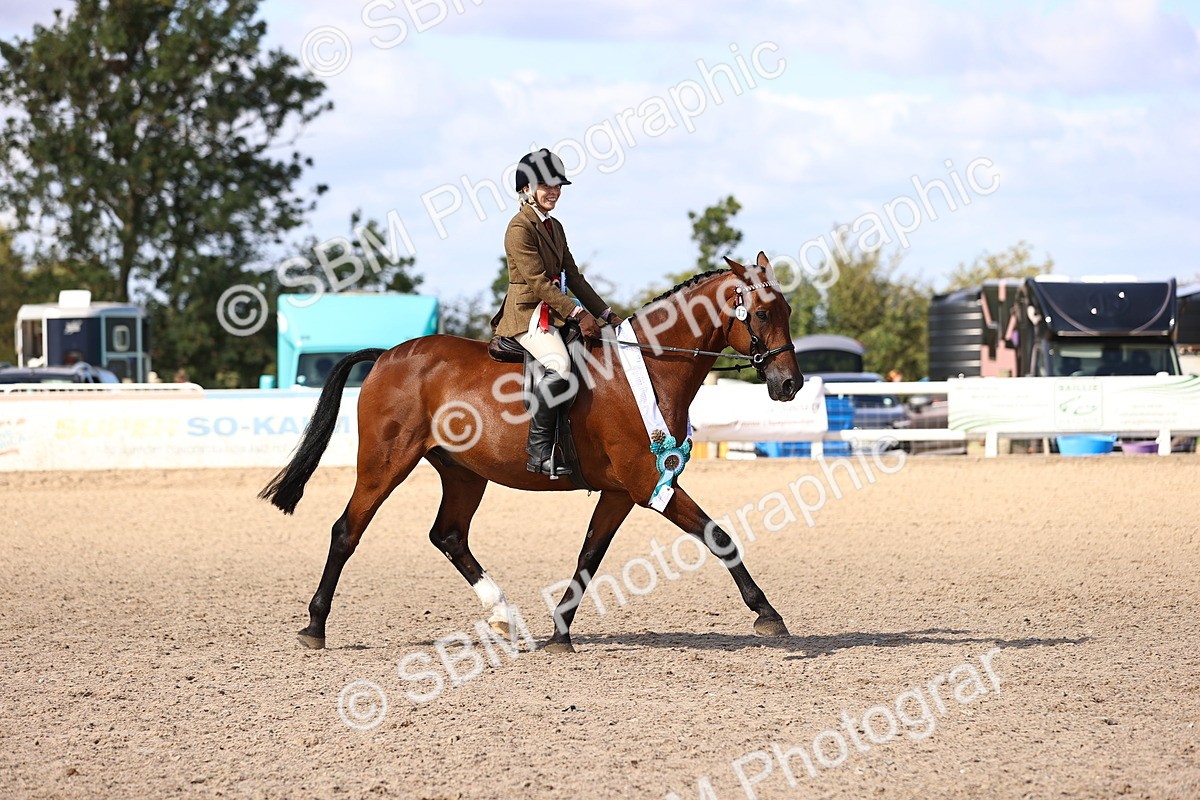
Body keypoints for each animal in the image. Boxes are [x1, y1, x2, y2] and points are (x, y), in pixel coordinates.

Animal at [260, 252, 804, 653]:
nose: (790, 385)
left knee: (449, 536)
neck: (651, 368)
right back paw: (314, 628)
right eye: (760, 313)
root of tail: (387, 355)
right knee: (346, 531)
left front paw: (560, 633)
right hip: (384, 465)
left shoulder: (622, 491)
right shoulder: (649, 483)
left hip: (464, 473)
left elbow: (589, 555)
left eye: (788, 312)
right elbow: (719, 537)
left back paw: (505, 619)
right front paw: (768, 614)